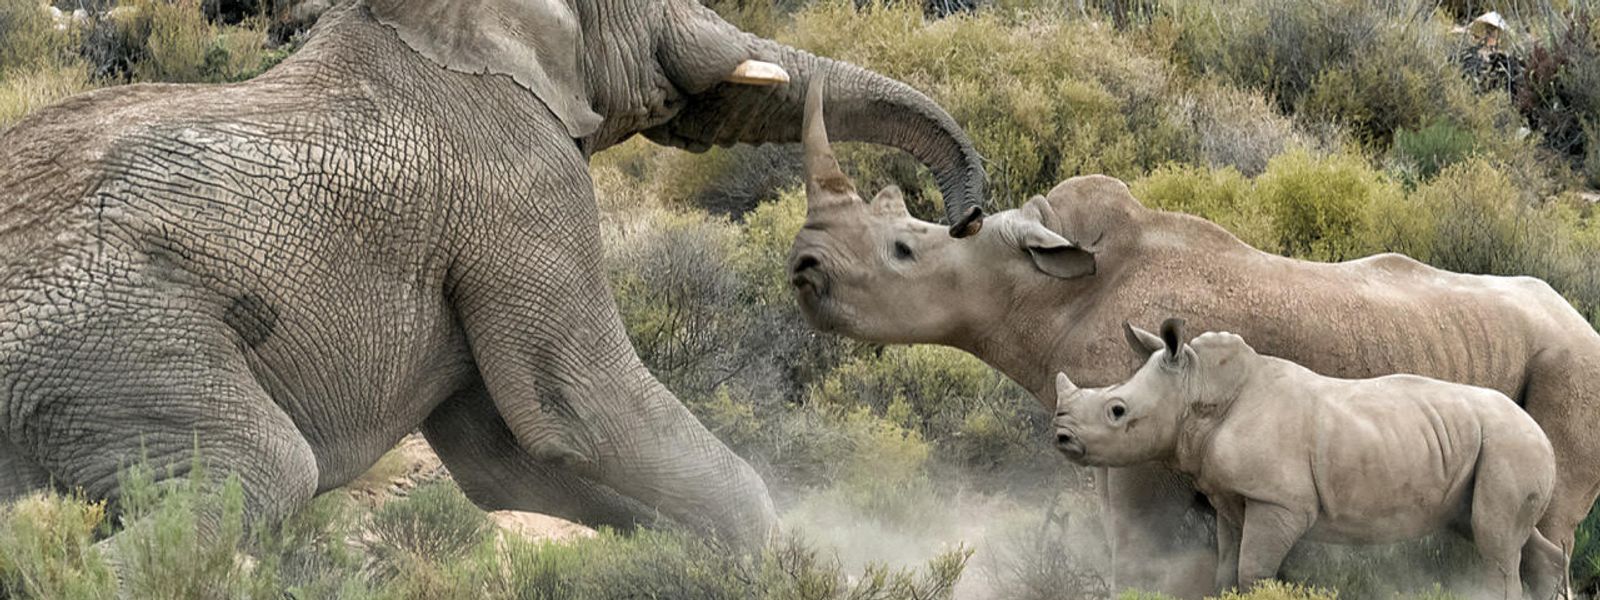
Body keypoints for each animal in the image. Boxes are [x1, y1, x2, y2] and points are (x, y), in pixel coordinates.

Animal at [0, 0, 988, 553]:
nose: (965, 220)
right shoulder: (525, 184)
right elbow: (582, 408)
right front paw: (773, 562)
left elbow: (505, 460)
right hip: (107, 337)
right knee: (259, 472)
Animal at [1054, 320, 1565, 598]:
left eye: (1117, 411)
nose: (1060, 436)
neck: (1200, 390)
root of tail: (1542, 433)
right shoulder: (1233, 498)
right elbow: (1226, 567)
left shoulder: (1280, 502)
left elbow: (1253, 570)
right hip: (1496, 446)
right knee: (1500, 534)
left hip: (1510, 444)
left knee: (1494, 541)